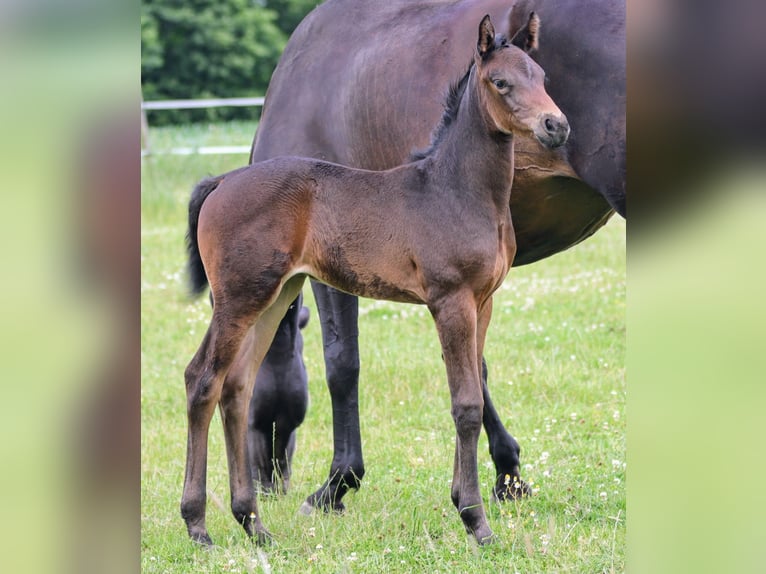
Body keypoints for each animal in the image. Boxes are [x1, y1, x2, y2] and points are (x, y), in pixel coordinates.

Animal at [183, 12, 568, 544]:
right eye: (501, 82)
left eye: (543, 77)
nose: (557, 126)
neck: (457, 189)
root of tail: (222, 180)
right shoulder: (450, 300)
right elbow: (466, 403)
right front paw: (475, 520)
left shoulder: (483, 301)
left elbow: (475, 386)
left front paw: (468, 505)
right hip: (239, 296)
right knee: (202, 379)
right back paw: (198, 525)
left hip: (275, 295)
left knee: (236, 386)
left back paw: (253, 523)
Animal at [249, 0, 628, 512]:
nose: (267, 484)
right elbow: (475, 368)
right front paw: (508, 473)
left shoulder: (333, 272)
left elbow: (343, 363)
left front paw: (338, 482)